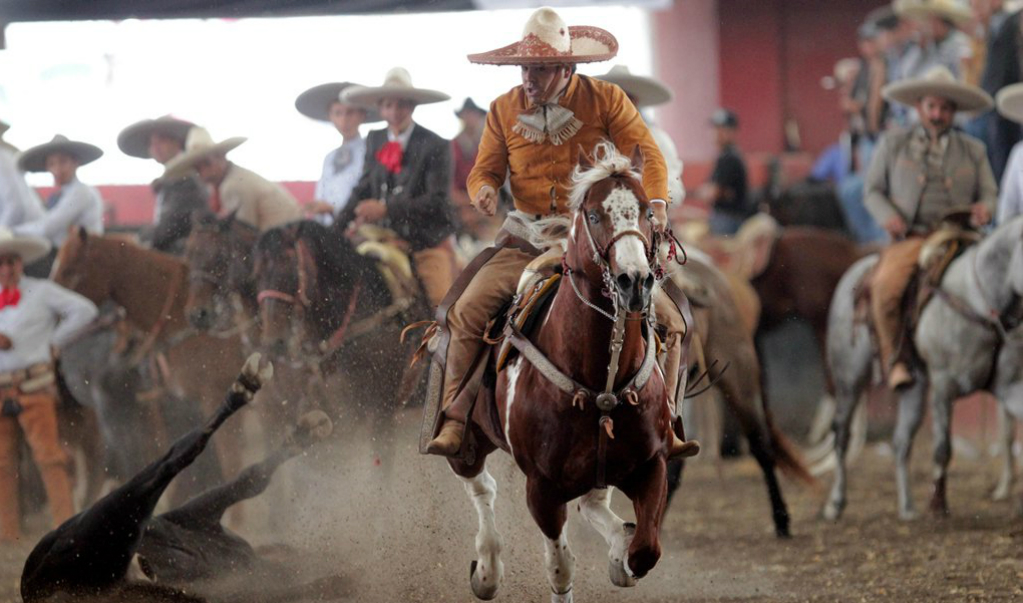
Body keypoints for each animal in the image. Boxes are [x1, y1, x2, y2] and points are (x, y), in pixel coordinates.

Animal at [822, 213, 1023, 520]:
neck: (981, 302)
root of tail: (855, 273)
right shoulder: (943, 385)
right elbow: (942, 448)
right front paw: (938, 504)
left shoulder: (1010, 387)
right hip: (849, 377)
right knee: (842, 434)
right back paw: (835, 503)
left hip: (913, 386)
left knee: (901, 442)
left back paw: (907, 508)